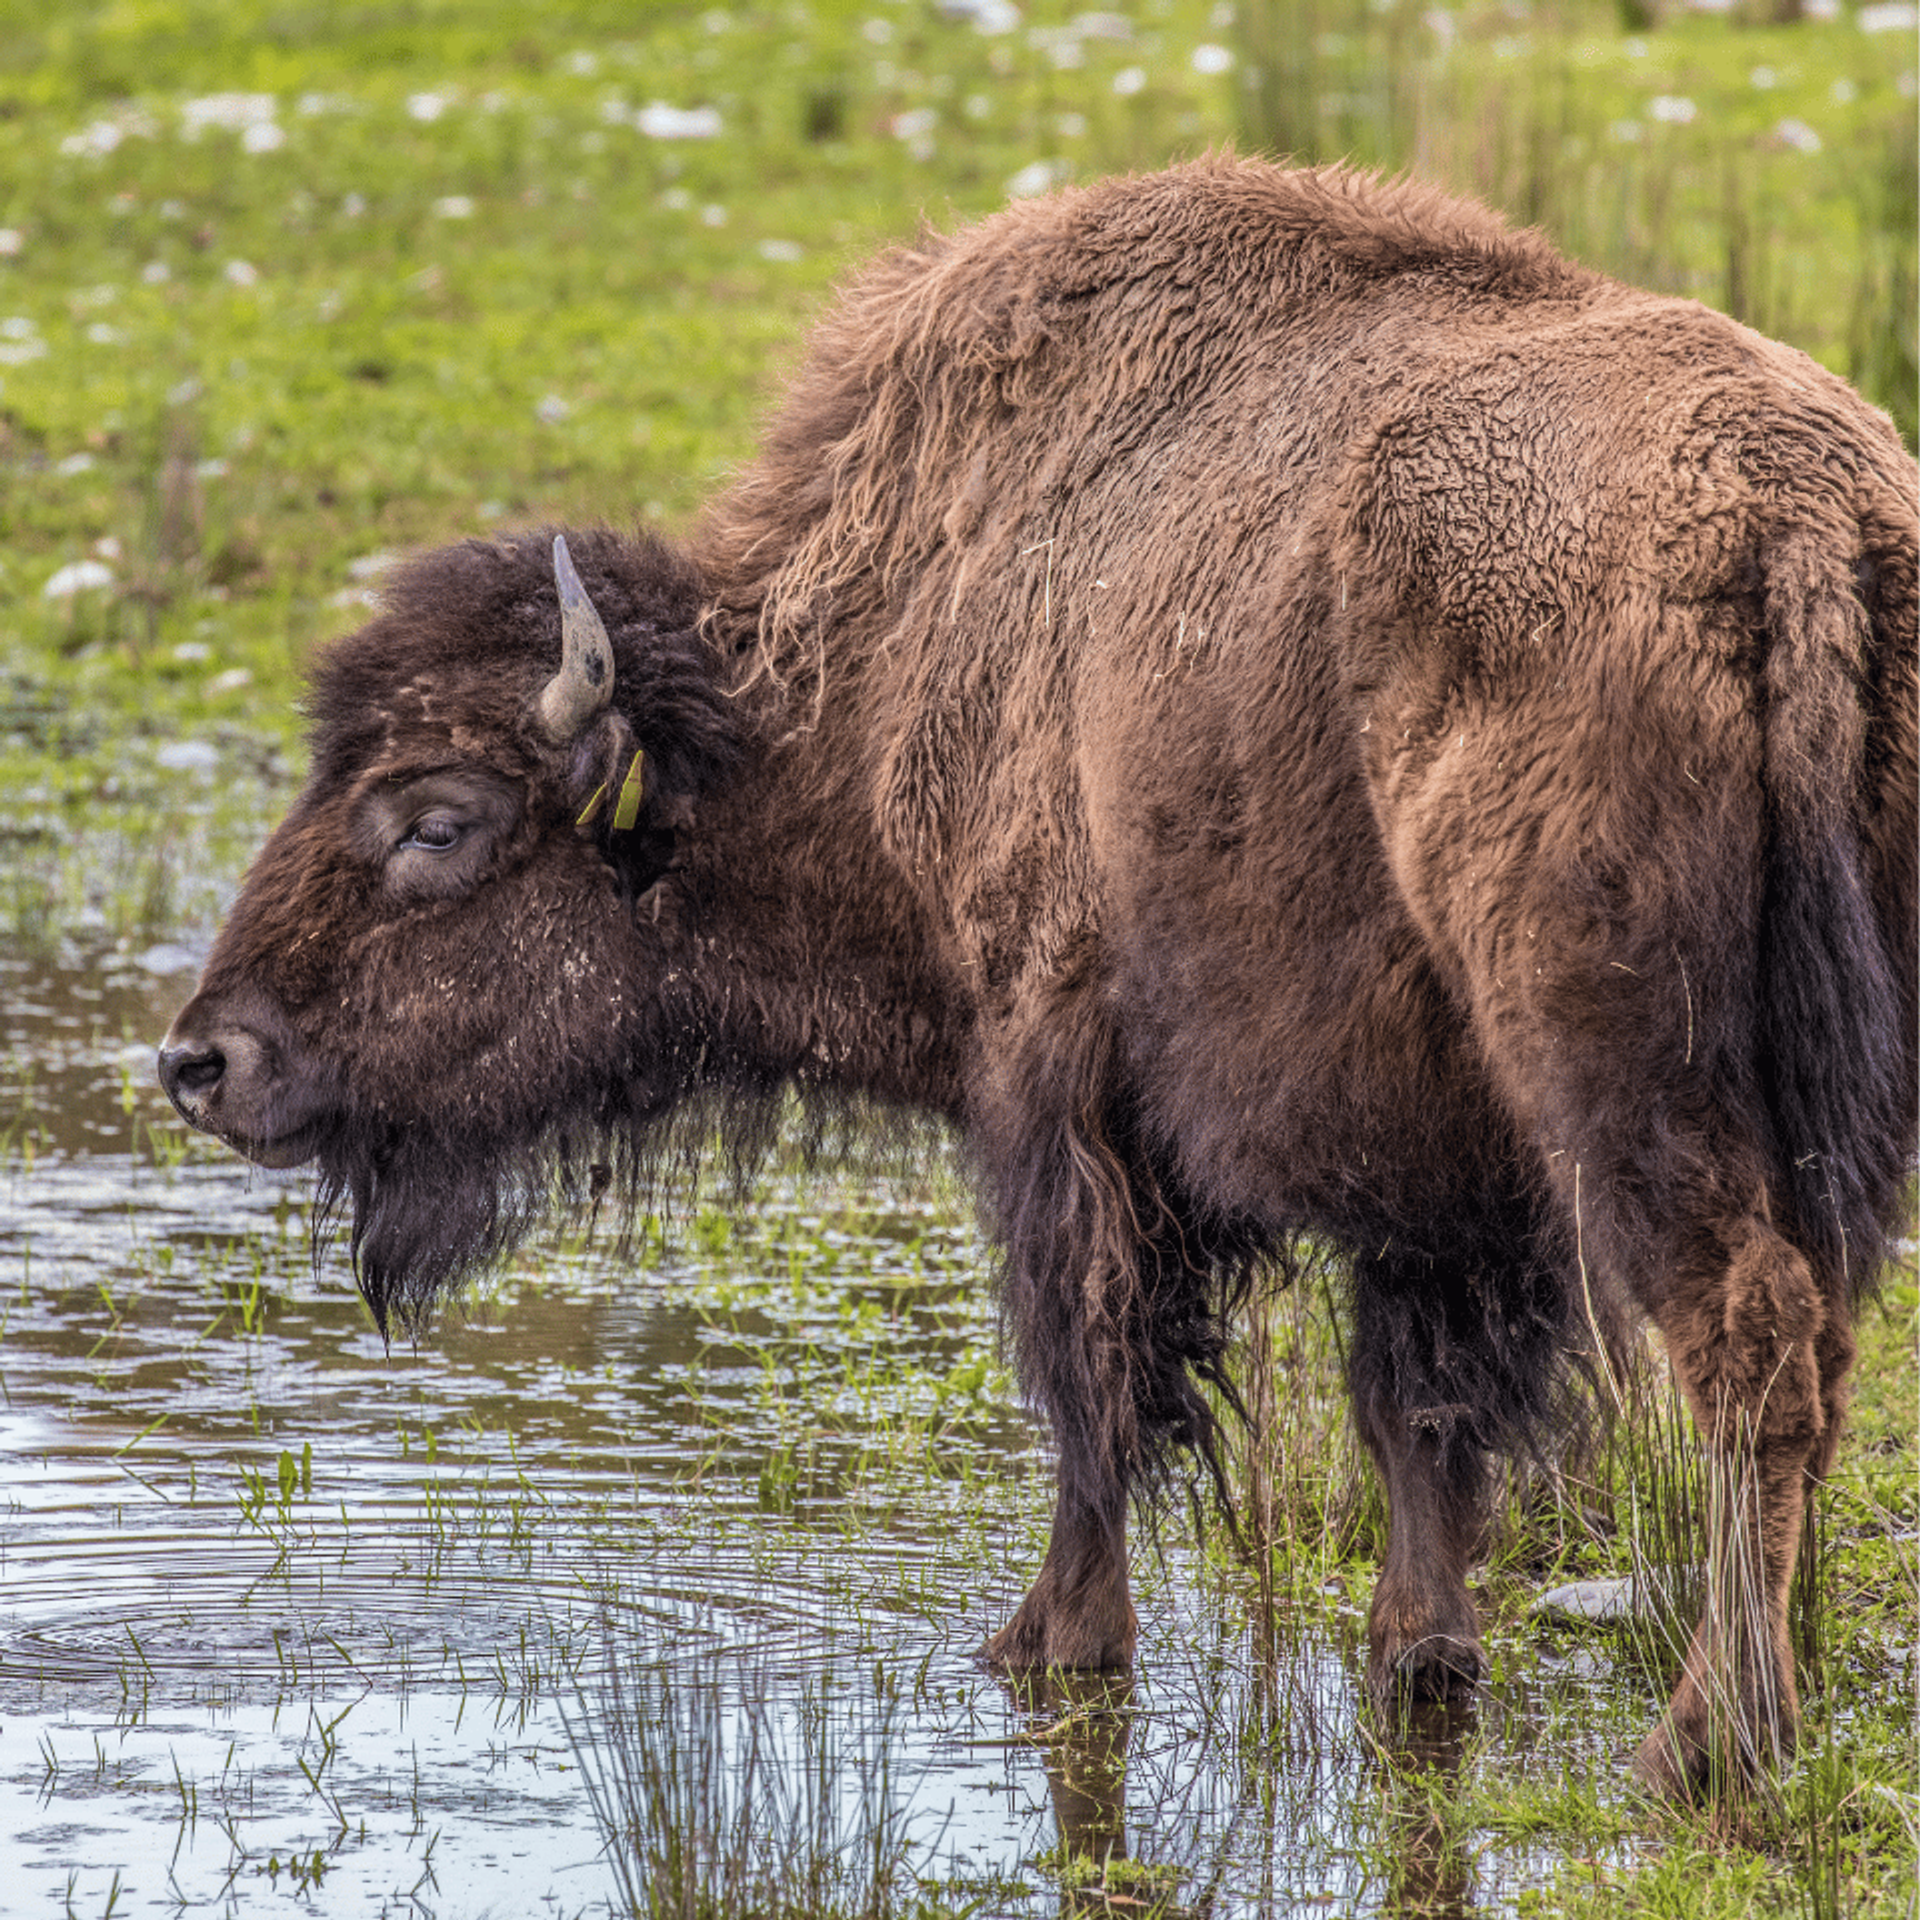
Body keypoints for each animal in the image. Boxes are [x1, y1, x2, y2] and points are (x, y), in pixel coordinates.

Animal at [160, 159, 1917, 1798]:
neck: (882, 658)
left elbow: (1092, 1376)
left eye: (434, 821)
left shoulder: (1053, 1078)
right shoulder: (1426, 1173)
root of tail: (1793, 520)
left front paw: (1048, 1640)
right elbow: (1413, 1413)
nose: (204, 1062)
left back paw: (1707, 1740)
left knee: (1753, 1339)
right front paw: (1418, 1655)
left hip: (1621, 1077)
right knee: (1811, 1349)